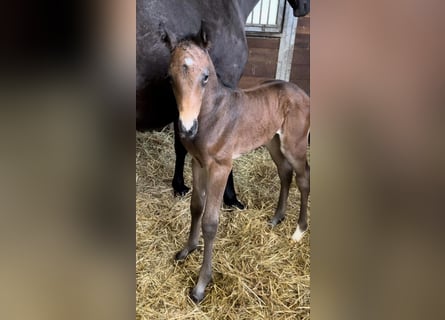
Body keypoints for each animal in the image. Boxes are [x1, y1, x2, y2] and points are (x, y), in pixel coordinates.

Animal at [164, 30, 308, 302]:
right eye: (170, 76)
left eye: (205, 76)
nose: (187, 127)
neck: (213, 115)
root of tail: (301, 92)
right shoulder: (198, 163)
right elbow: (196, 207)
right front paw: (187, 250)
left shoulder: (221, 167)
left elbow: (210, 222)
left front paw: (200, 286)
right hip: (273, 142)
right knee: (285, 173)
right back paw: (276, 218)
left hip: (294, 144)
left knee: (303, 178)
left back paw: (298, 231)